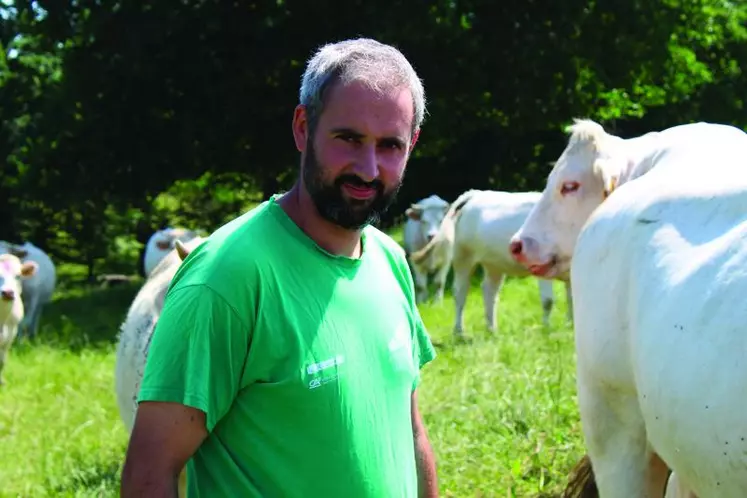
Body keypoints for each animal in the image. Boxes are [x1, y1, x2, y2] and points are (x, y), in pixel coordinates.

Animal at [410, 189, 572, 336]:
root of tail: (474, 193)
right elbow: (548, 300)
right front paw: (547, 330)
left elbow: (571, 299)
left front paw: (570, 327)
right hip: (462, 257)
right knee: (460, 291)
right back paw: (459, 331)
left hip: (494, 264)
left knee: (489, 291)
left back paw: (491, 329)